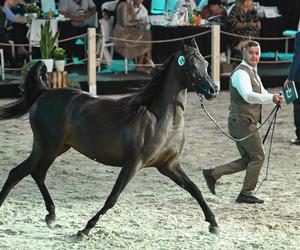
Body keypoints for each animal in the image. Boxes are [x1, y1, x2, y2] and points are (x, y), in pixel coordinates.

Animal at [0, 39, 220, 236]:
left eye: (206, 63)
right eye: (191, 64)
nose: (213, 89)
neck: (161, 121)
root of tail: (44, 92)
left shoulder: (169, 165)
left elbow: (195, 189)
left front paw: (213, 224)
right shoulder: (133, 163)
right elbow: (112, 198)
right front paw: (85, 229)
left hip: (47, 147)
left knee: (17, 173)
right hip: (50, 148)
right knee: (37, 174)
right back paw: (51, 215)